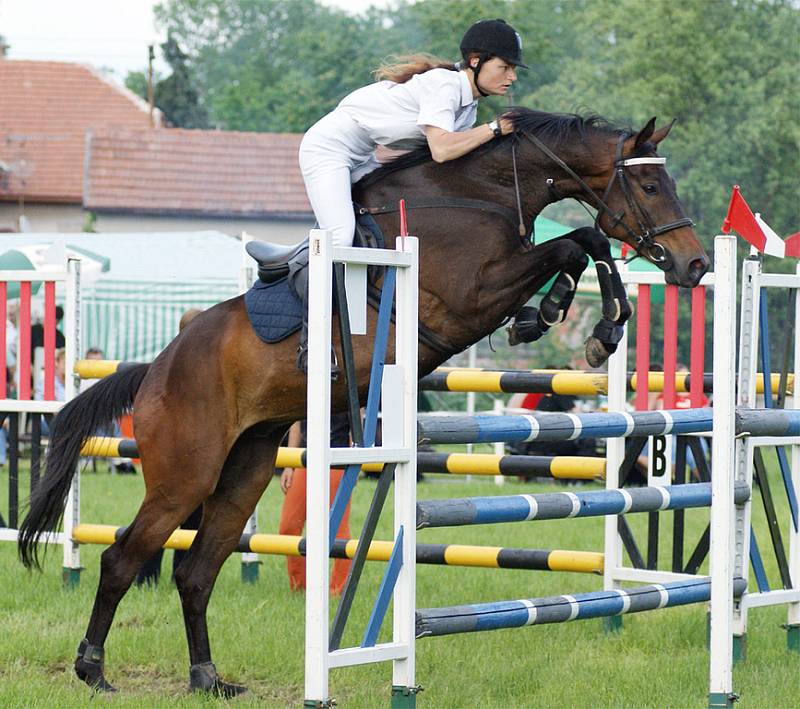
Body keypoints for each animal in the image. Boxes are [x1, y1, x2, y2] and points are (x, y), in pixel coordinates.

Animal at [17, 108, 708, 696]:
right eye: (650, 188)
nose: (695, 265)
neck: (476, 195)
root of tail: (156, 368)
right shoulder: (468, 295)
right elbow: (576, 241)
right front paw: (579, 320)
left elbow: (584, 240)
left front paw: (582, 319)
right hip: (185, 475)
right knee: (121, 559)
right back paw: (93, 671)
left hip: (245, 470)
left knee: (195, 572)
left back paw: (209, 679)